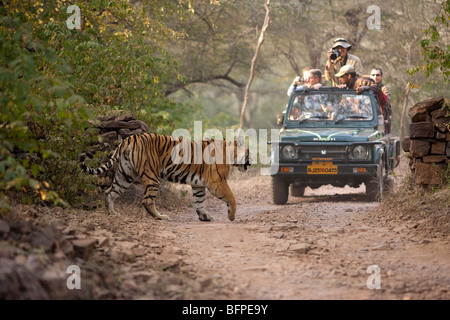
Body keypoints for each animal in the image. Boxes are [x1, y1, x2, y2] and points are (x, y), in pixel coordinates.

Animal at [81, 132, 250, 220]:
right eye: (248, 152)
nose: (252, 162)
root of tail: (129, 139)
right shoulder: (217, 181)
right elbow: (232, 197)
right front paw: (231, 216)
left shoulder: (198, 184)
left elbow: (200, 201)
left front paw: (205, 217)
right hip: (151, 176)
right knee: (147, 200)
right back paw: (161, 216)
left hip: (125, 174)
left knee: (110, 192)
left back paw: (113, 213)